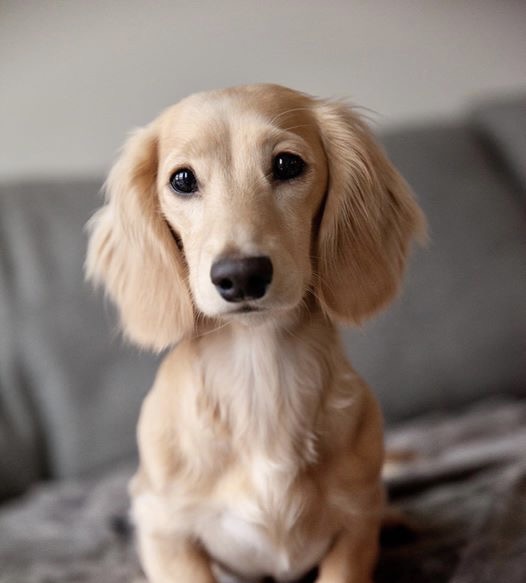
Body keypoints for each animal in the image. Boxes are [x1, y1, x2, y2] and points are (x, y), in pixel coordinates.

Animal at [85, 83, 424, 583]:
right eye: (182, 179)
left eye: (287, 165)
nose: (241, 275)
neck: (260, 376)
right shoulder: (165, 530)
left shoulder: (355, 523)